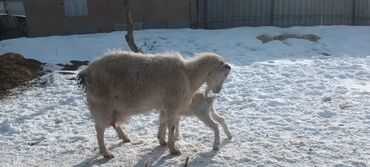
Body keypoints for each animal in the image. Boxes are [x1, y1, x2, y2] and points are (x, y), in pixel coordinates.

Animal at [78, 51, 230, 158]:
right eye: (224, 74)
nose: (218, 90)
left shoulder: (164, 106)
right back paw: (106, 152)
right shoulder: (171, 106)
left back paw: (125, 138)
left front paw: (162, 141)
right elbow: (171, 126)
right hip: (101, 104)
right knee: (100, 129)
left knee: (113, 123)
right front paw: (173, 149)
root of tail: (86, 72)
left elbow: (162, 122)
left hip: (115, 107)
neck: (188, 74)